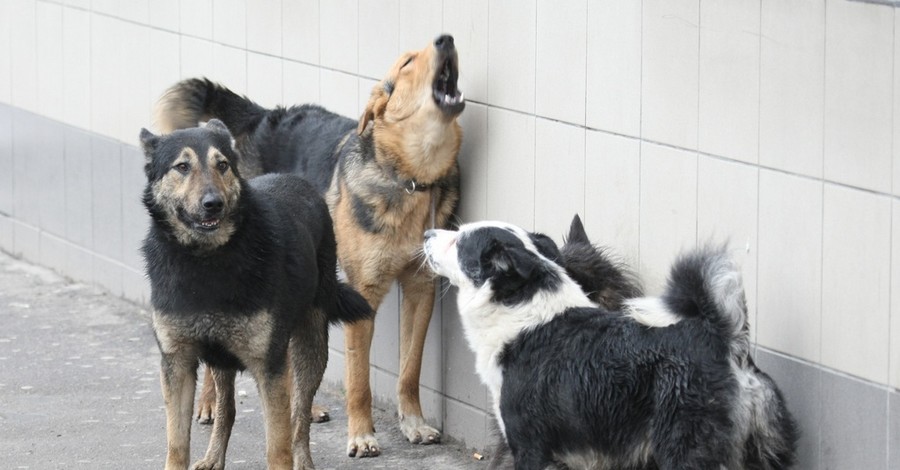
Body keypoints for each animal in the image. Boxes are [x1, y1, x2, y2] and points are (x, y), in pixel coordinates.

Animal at [139, 119, 370, 468]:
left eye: (222, 165)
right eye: (182, 166)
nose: (213, 204)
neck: (206, 260)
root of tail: (295, 180)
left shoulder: (268, 366)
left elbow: (278, 446)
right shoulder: (177, 364)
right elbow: (177, 445)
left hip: (309, 346)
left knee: (299, 415)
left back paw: (304, 460)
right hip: (222, 358)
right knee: (227, 410)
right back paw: (213, 457)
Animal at [422, 218, 796, 470]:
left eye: (459, 242)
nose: (426, 234)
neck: (522, 315)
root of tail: (724, 337)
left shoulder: (529, 446)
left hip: (686, 449)